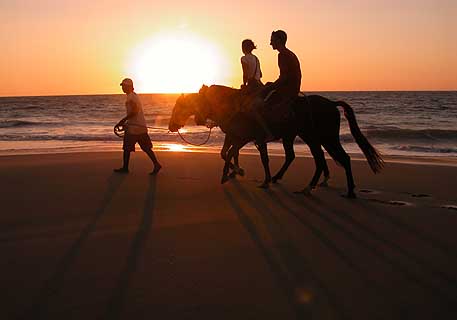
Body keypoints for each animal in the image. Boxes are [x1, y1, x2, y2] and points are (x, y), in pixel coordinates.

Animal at [167, 84, 382, 198]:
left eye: (179, 106)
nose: (171, 126)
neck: (233, 105)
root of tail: (331, 103)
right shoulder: (238, 137)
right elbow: (226, 153)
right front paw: (233, 172)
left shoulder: (247, 137)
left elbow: (244, 155)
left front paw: (243, 175)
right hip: (309, 137)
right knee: (304, 157)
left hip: (321, 138)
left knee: (333, 158)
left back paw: (342, 190)